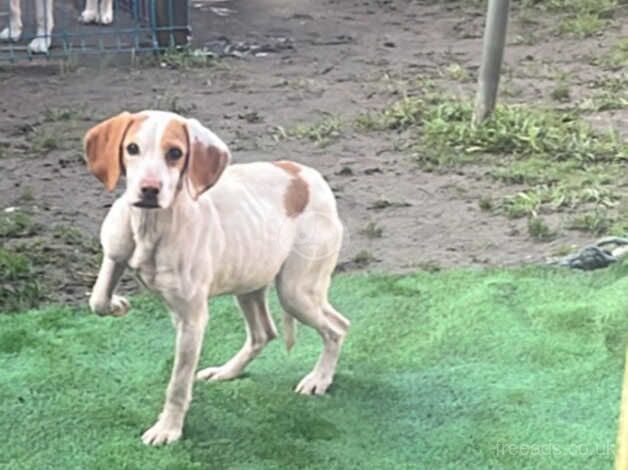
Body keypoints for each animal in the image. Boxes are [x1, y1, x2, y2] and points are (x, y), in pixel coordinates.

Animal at [83, 112, 348, 446]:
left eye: (175, 153)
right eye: (132, 148)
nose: (149, 190)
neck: (152, 225)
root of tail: (308, 175)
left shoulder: (191, 321)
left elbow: (178, 384)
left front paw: (168, 428)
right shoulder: (114, 253)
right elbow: (98, 299)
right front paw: (118, 304)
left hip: (295, 292)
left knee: (337, 328)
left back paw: (319, 379)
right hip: (249, 282)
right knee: (264, 333)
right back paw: (226, 372)